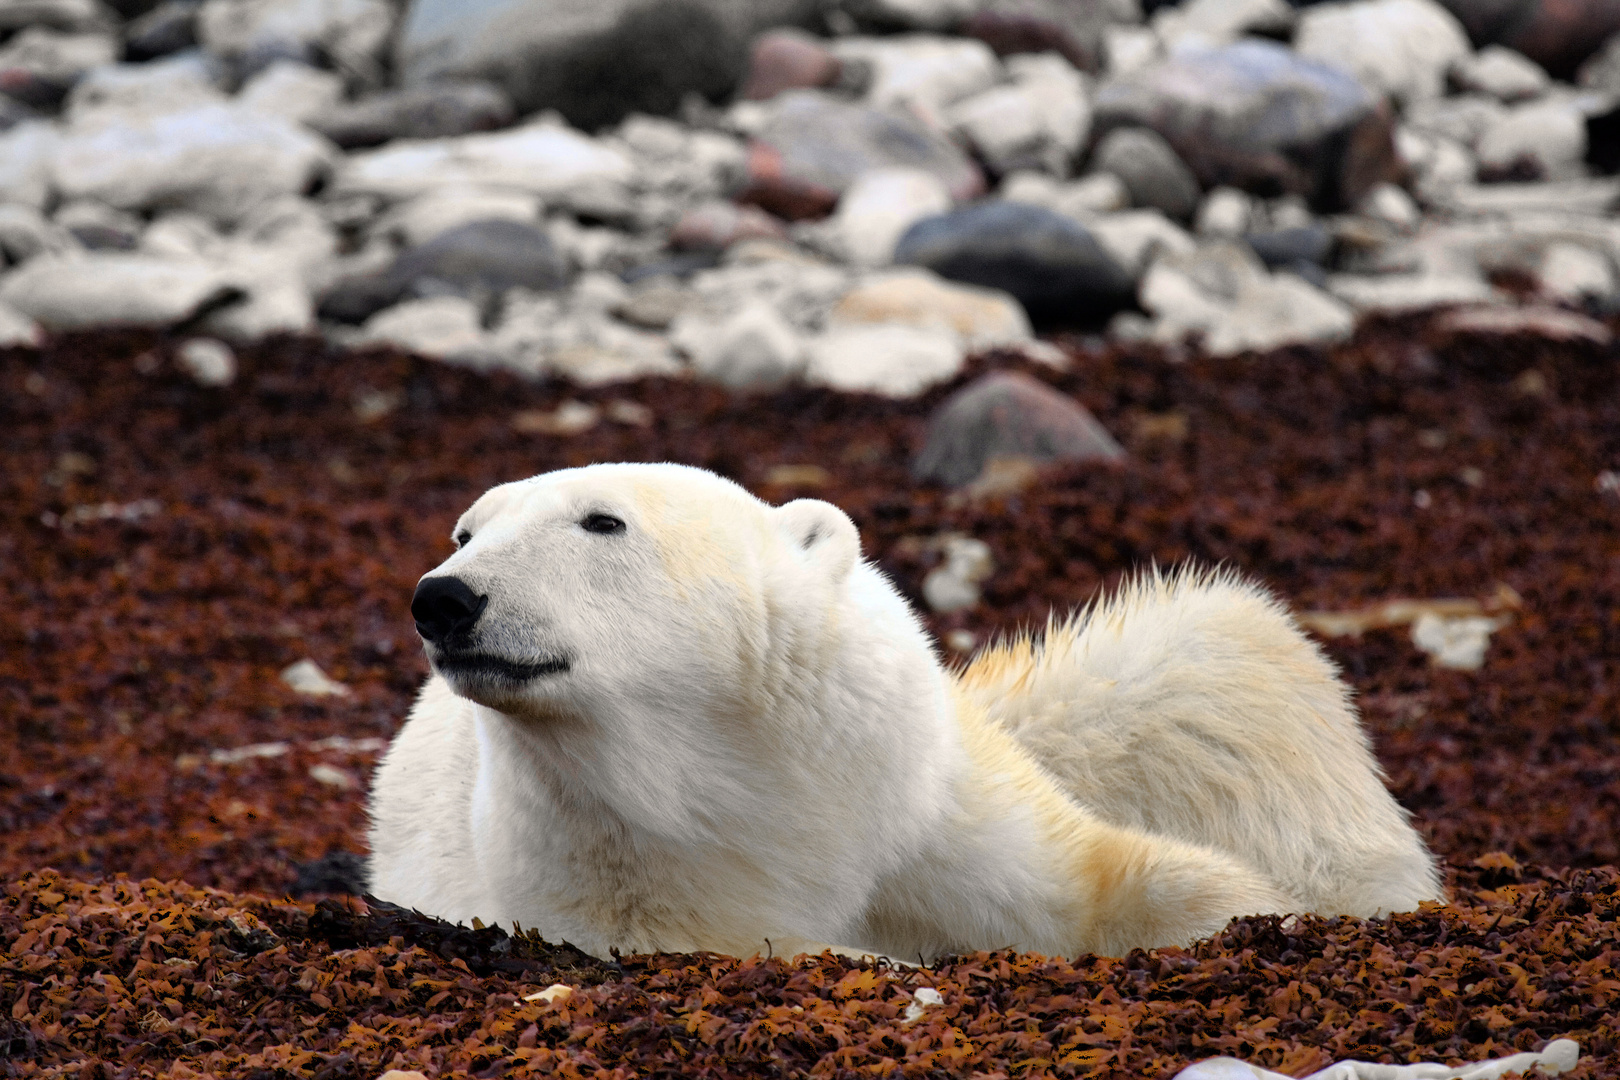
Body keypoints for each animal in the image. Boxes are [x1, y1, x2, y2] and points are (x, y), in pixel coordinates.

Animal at [370, 466, 1445, 965]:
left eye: (602, 521)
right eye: (466, 529)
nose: (444, 599)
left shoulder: (910, 780)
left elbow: (1092, 876)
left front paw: (1261, 914)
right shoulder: (603, 870)